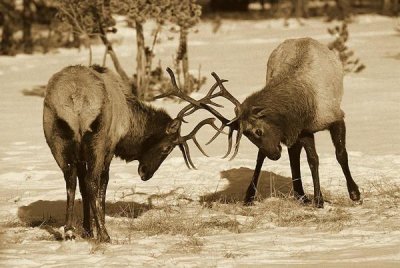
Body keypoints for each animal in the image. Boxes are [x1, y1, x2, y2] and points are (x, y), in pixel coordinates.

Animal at [43, 64, 219, 241]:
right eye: (167, 148)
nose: (146, 174)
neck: (129, 121)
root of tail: (75, 97)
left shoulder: (81, 157)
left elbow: (82, 189)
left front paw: (87, 231)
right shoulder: (110, 146)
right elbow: (102, 185)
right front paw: (97, 228)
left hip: (56, 139)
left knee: (70, 181)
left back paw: (69, 231)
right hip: (97, 138)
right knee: (91, 181)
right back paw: (104, 235)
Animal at [186, 37, 360, 207]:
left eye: (258, 131)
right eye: (246, 135)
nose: (274, 155)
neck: (304, 104)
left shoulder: (334, 117)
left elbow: (340, 154)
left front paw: (354, 194)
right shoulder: (302, 129)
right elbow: (313, 160)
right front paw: (318, 200)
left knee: (290, 154)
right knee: (278, 156)